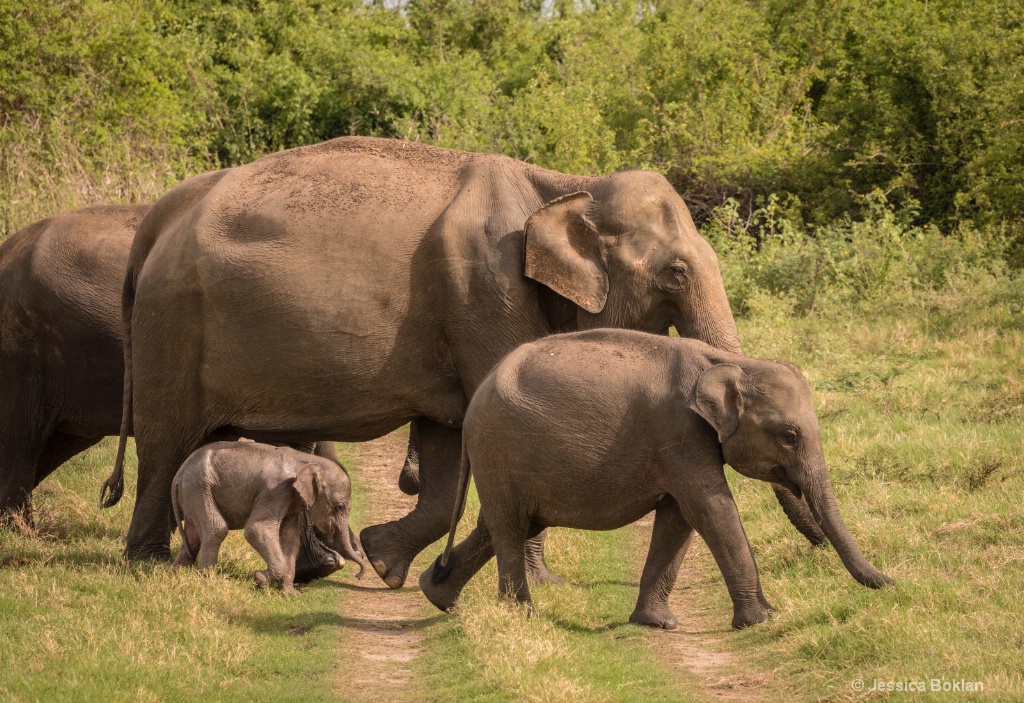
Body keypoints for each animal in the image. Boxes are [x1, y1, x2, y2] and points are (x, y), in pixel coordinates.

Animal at [172, 442, 368, 589]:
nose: (358, 575)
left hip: (194, 492)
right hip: (199, 488)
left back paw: (178, 572)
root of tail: (178, 475)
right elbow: (257, 530)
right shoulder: (275, 490)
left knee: (193, 535)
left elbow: (289, 538)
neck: (308, 461)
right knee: (216, 529)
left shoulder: (291, 498)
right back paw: (207, 578)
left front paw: (288, 594)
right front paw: (260, 579)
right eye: (339, 507)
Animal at [419, 329, 892, 634]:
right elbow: (710, 508)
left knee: (504, 524)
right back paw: (522, 617)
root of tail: (473, 405)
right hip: (497, 447)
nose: (894, 583)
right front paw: (764, 619)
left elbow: (680, 517)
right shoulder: (679, 432)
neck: (728, 363)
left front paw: (656, 624)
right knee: (510, 526)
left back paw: (438, 596)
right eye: (789, 436)